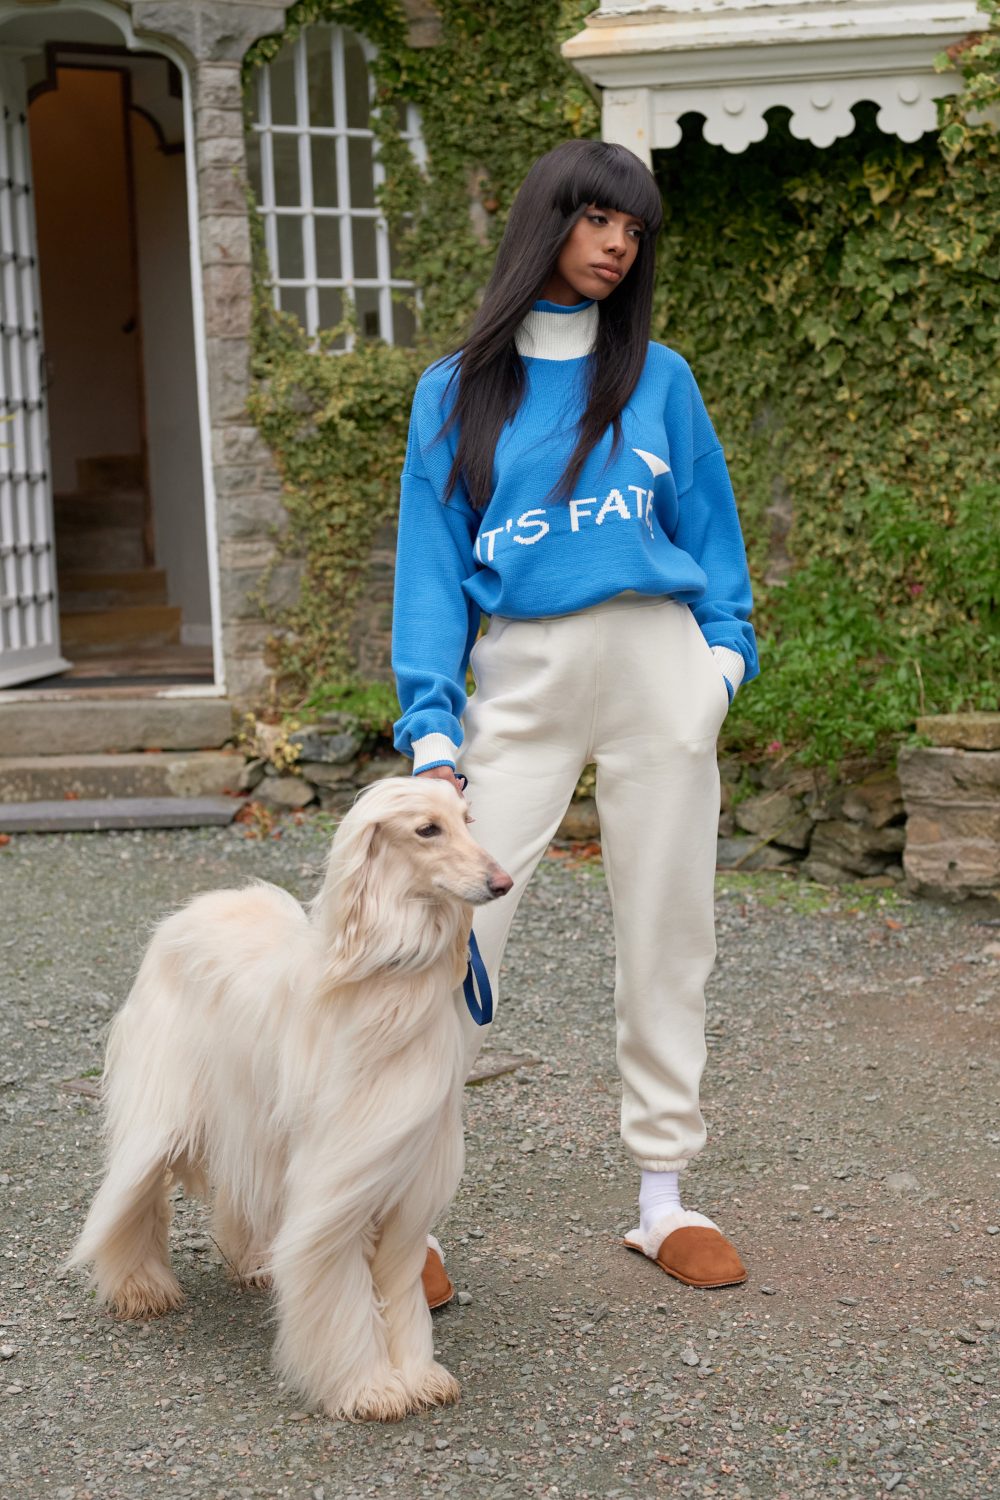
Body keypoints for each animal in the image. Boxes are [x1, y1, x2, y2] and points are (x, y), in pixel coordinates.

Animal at [68, 777, 512, 1421]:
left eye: (468, 819)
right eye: (427, 829)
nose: (502, 883)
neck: (384, 989)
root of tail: (199, 905)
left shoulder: (405, 1178)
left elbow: (398, 1285)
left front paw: (416, 1373)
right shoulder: (340, 1175)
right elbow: (338, 1281)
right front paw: (368, 1385)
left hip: (258, 1119)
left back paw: (256, 1263)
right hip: (168, 1102)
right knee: (136, 1190)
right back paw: (139, 1286)